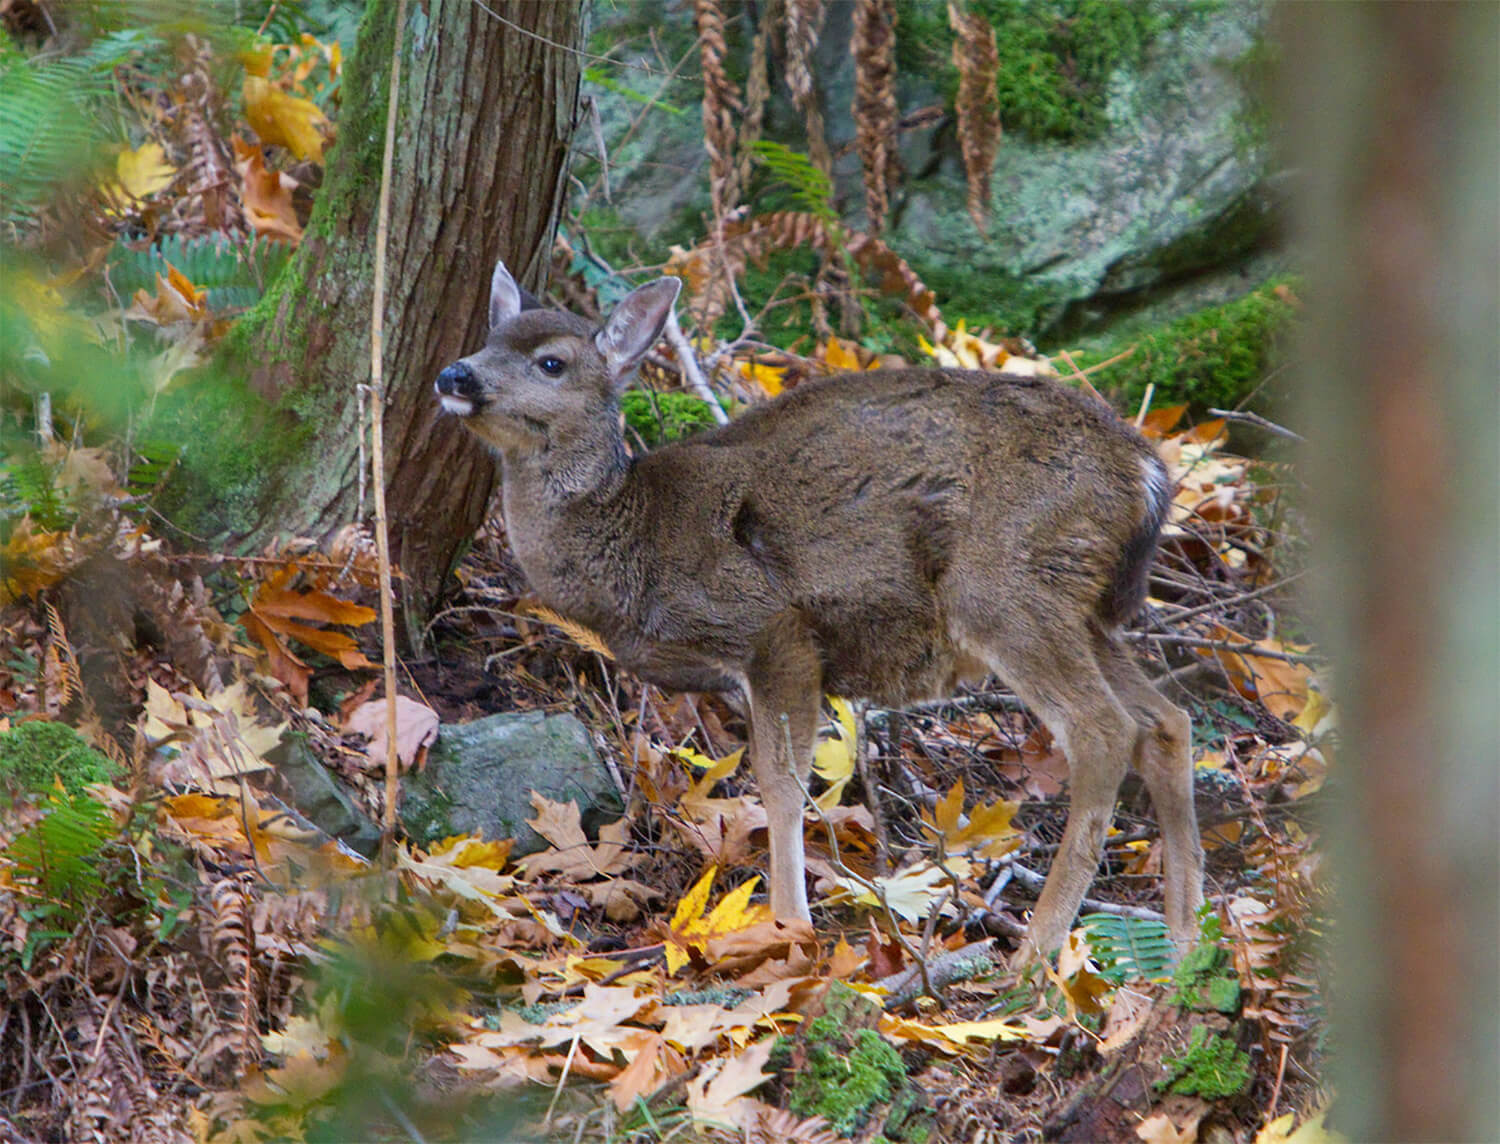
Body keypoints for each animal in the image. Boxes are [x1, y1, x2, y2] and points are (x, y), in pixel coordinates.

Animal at [435, 262, 1206, 965]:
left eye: (552, 362)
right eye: (488, 339)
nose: (453, 374)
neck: (636, 546)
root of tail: (1145, 471)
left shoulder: (776, 628)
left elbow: (781, 784)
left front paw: (788, 926)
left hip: (1006, 587)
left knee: (1104, 729)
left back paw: (1037, 957)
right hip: (1080, 604)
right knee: (1164, 721)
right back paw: (1183, 946)